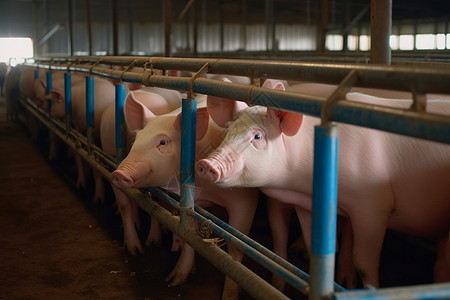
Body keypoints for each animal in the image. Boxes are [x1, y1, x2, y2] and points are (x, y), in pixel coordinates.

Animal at [99, 88, 182, 255]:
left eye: (162, 142)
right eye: (135, 141)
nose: (120, 174)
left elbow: (155, 206)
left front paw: (154, 243)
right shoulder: (111, 161)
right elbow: (124, 204)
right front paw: (134, 250)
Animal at [197, 80, 450, 290]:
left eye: (257, 137)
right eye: (228, 132)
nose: (205, 164)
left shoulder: (373, 205)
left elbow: (364, 262)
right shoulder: (308, 204)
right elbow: (314, 248)